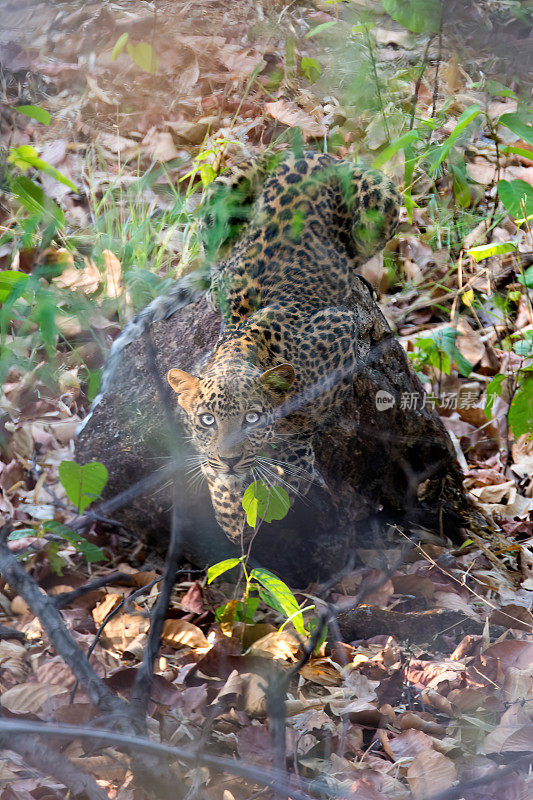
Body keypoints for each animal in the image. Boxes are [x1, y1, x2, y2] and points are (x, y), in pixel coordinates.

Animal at [167, 150, 400, 540]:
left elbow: (307, 422)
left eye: (252, 418)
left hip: (380, 195)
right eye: (207, 420)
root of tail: (309, 153)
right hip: (220, 190)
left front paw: (292, 459)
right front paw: (229, 511)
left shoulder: (340, 330)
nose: (230, 461)